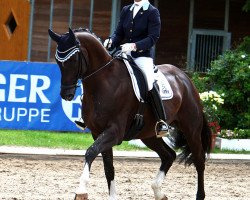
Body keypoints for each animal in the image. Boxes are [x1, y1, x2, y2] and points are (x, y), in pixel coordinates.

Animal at [48, 28, 211, 200]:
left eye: (73, 60)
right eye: (58, 61)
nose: (66, 95)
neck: (104, 82)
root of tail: (185, 78)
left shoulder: (115, 132)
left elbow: (90, 152)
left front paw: (81, 191)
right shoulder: (97, 132)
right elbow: (108, 167)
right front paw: (112, 196)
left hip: (191, 129)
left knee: (199, 160)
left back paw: (199, 195)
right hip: (148, 135)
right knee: (169, 155)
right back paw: (158, 192)